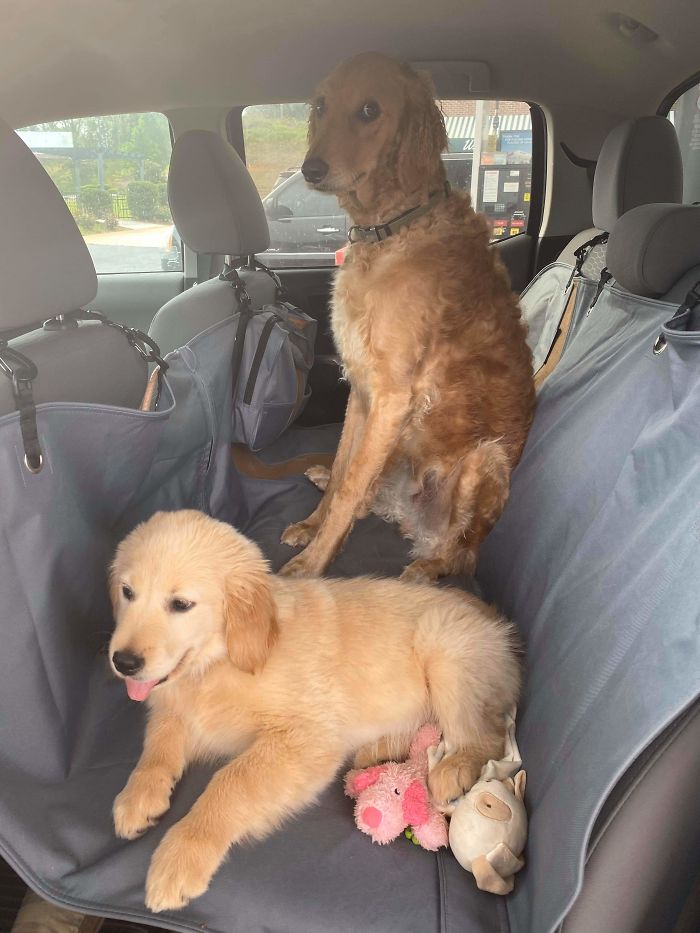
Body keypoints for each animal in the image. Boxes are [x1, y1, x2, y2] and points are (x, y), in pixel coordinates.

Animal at [106, 510, 516, 912]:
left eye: (181, 604)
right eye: (127, 592)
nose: (122, 662)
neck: (219, 663)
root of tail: (492, 617)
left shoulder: (306, 737)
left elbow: (231, 782)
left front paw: (181, 856)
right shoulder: (175, 706)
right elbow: (158, 745)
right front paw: (138, 796)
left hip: (444, 649)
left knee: (488, 735)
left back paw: (452, 769)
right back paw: (375, 751)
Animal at [278, 51, 536, 584]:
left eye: (370, 110)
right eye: (321, 104)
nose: (311, 168)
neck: (389, 230)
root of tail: (418, 527)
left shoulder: (392, 396)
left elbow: (350, 487)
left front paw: (312, 564)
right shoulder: (361, 389)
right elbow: (343, 471)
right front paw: (313, 526)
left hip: (485, 460)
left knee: (460, 554)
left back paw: (423, 570)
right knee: (367, 495)